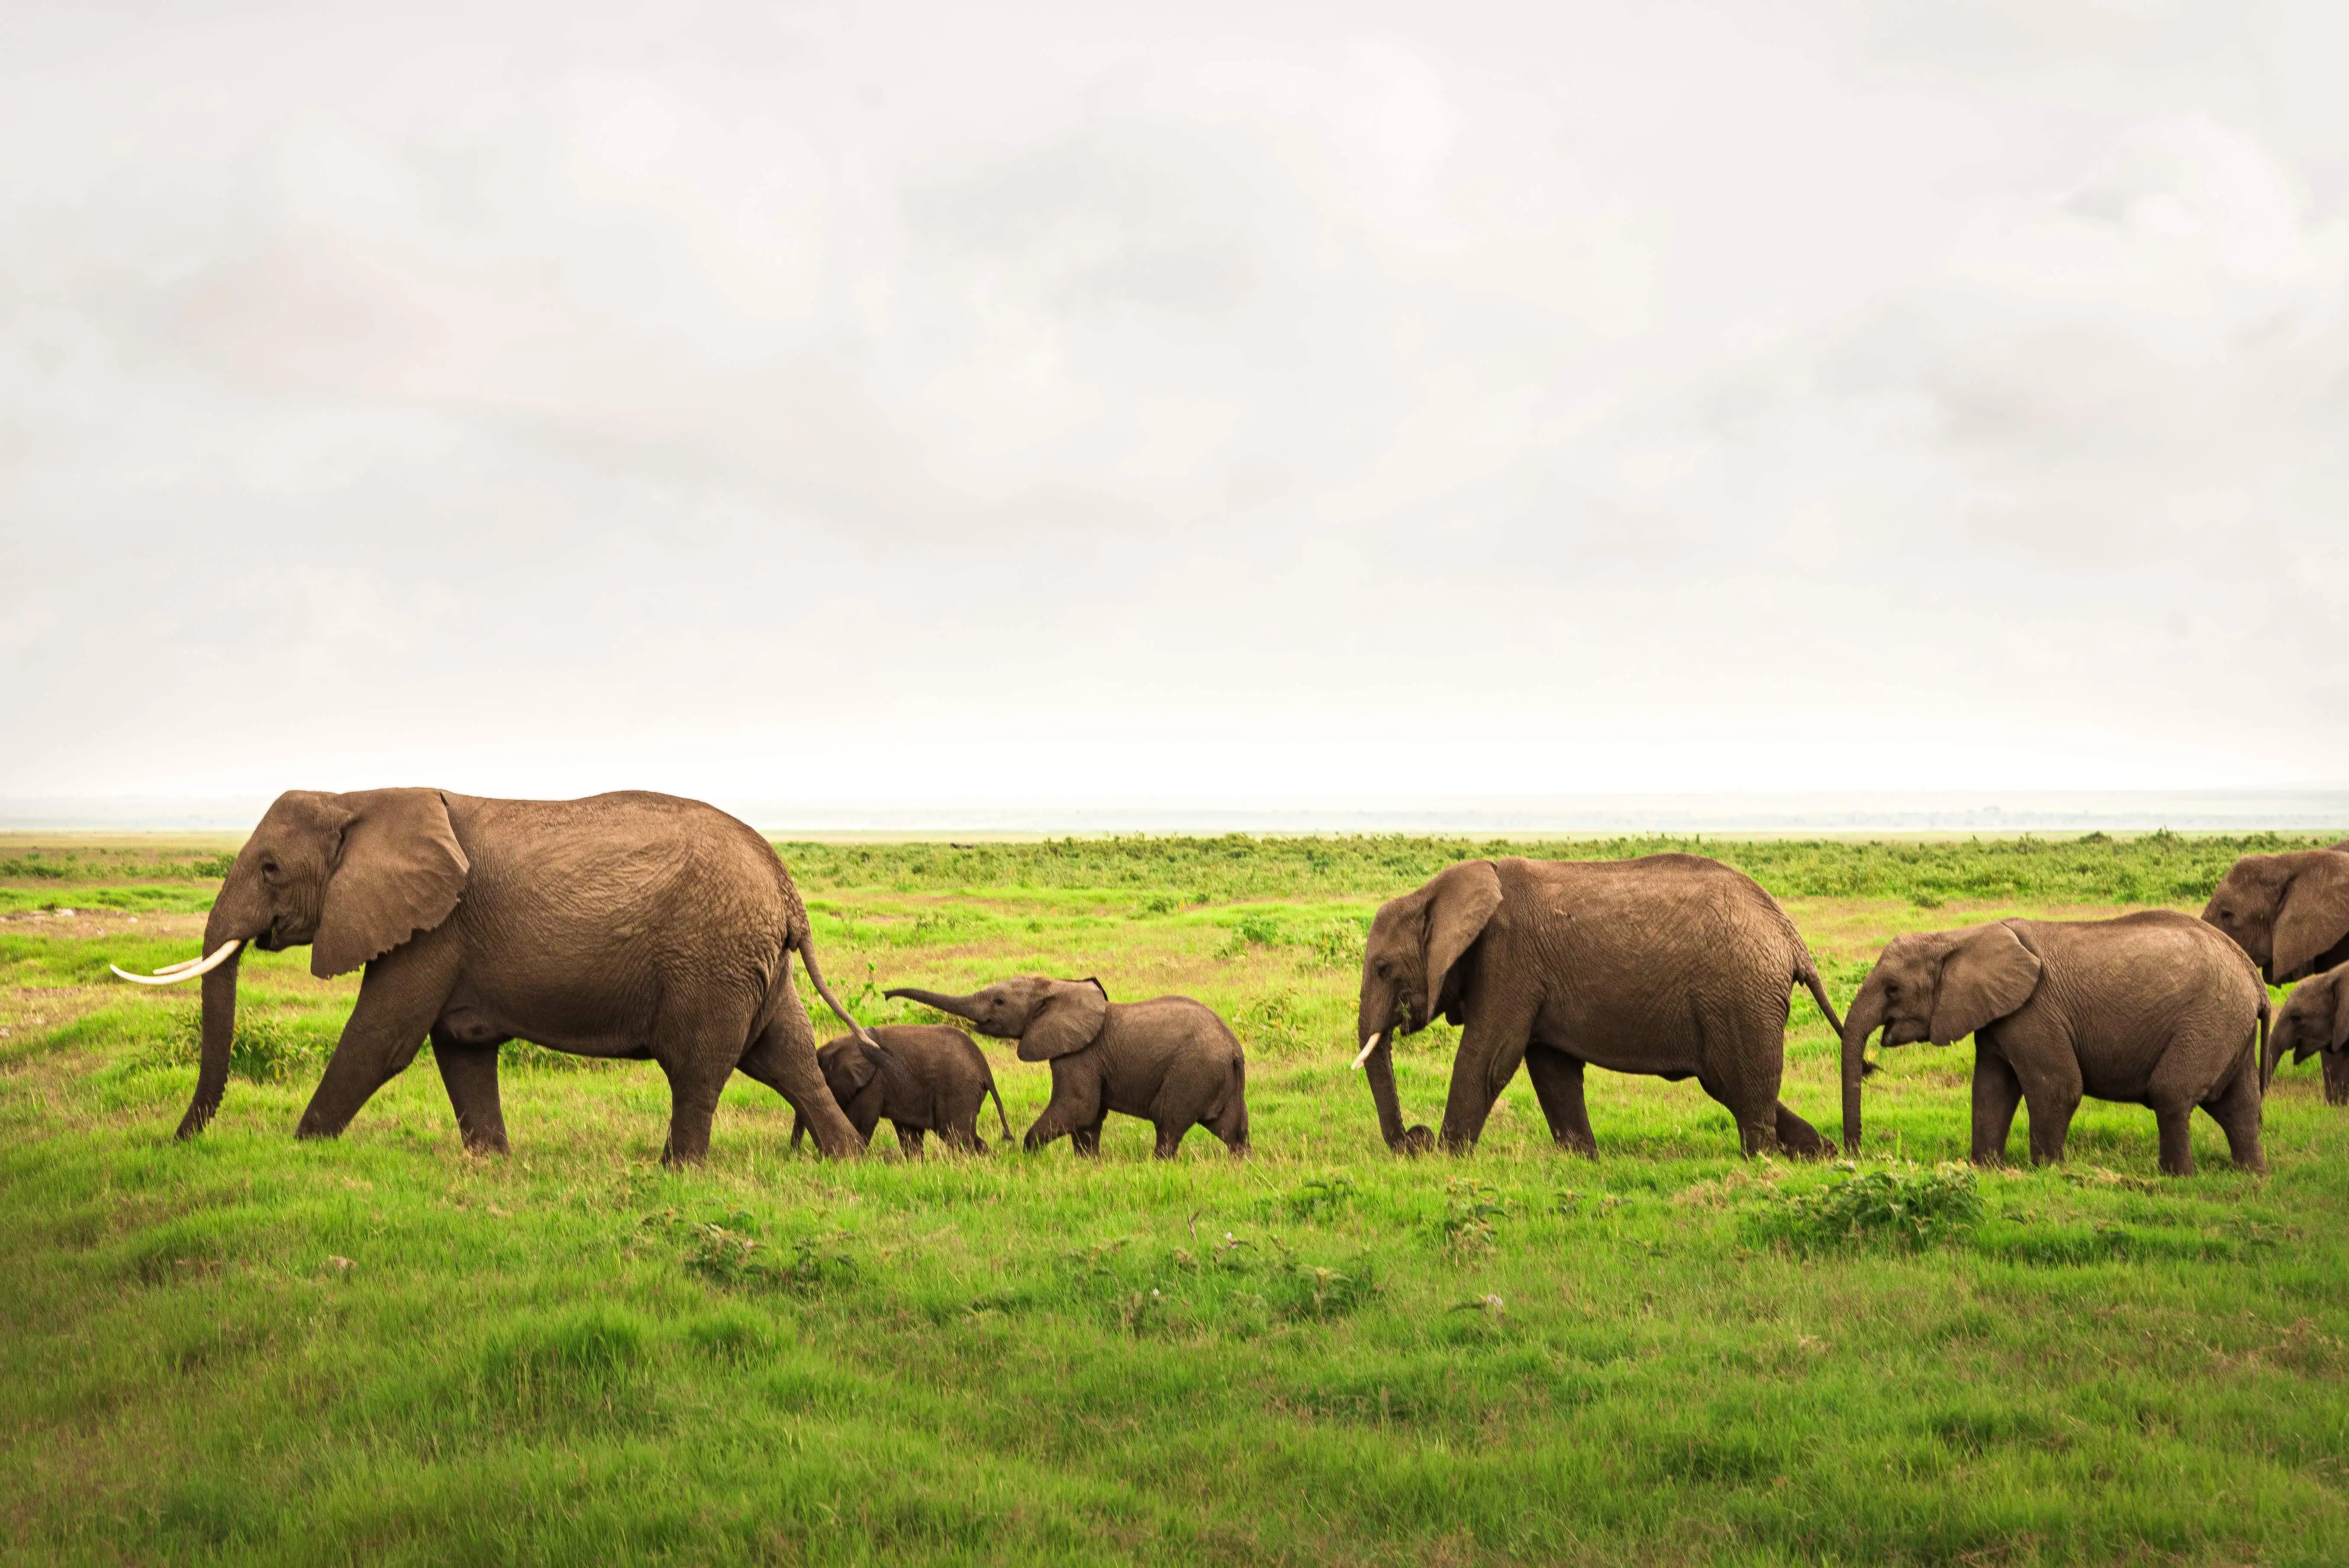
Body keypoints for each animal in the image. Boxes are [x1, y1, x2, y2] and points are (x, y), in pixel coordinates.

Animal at [110, 788, 877, 1162]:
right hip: (753, 961)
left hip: (709, 956)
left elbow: (381, 1039)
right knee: (785, 1056)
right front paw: (494, 1164)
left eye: (270, 868)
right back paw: (848, 1163)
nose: (177, 1144)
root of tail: (786, 886)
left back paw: (676, 1173)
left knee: (696, 1067)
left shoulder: (434, 925)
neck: (357, 796)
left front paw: (300, 1152)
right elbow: (461, 1048)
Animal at [789, 1025, 1013, 1155]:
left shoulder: (874, 1083)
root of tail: (985, 1070)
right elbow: (907, 1131)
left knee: (955, 1135)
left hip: (959, 1088)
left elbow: (861, 1121)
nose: (795, 1154)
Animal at [883, 977, 1249, 1157]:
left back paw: (1158, 1163)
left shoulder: (1078, 1054)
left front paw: (1028, 1156)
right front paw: (1087, 1163)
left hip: (1192, 1071)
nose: (886, 994)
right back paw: (1240, 1161)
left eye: (999, 1002)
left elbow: (1079, 1107)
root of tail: (1234, 1047)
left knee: (1169, 1122)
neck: (1058, 987)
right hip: (1217, 1076)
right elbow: (1088, 1118)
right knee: (1231, 1127)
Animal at [1352, 855, 1846, 1159]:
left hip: (1741, 995)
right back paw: (1819, 1153)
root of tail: (1792, 936)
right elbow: (1551, 1069)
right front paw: (1582, 1160)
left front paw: (1448, 1158)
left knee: (1739, 1085)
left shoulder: (1508, 959)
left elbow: (1489, 1058)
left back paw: (1762, 1160)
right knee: (1729, 1085)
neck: (1436, 892)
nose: (1415, 1138)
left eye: (1382, 968)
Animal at [1838, 912, 2269, 1174]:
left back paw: (2175, 1177)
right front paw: (1985, 1169)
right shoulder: (1999, 1015)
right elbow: (1990, 1089)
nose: (1856, 1156)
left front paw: (2045, 1171)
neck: (1963, 936)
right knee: (2239, 1106)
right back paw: (2250, 1175)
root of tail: (2252, 975)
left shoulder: (2034, 1011)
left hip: (2208, 1018)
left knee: (2171, 1094)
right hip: (2229, 1025)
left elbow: (2056, 1088)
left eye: (1893, 989)